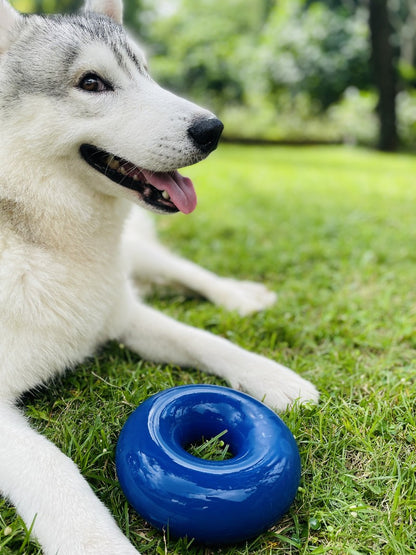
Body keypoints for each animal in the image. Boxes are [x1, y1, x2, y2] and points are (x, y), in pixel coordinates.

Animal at [0, 0, 318, 552]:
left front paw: (273, 377)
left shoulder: (122, 315)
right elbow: (51, 467)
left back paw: (239, 296)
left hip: (141, 261)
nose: (213, 130)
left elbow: (203, 341)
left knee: (186, 272)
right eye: (91, 82)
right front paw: (96, 541)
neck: (41, 240)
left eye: (146, 72)